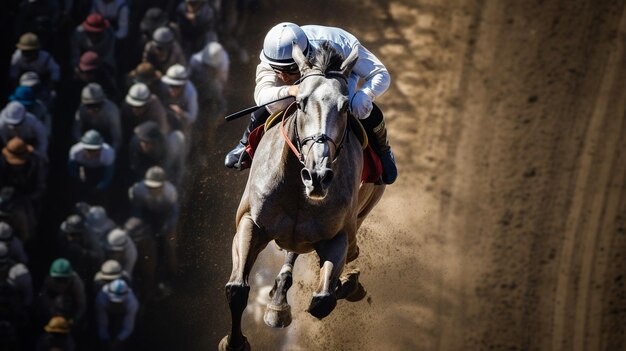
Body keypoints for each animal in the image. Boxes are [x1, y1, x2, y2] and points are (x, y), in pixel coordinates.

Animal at [219, 42, 386, 351]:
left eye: (345, 106)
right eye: (299, 104)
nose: (317, 175)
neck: (297, 192)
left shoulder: (339, 236)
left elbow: (323, 301)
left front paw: (346, 283)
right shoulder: (249, 223)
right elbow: (236, 289)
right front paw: (234, 342)